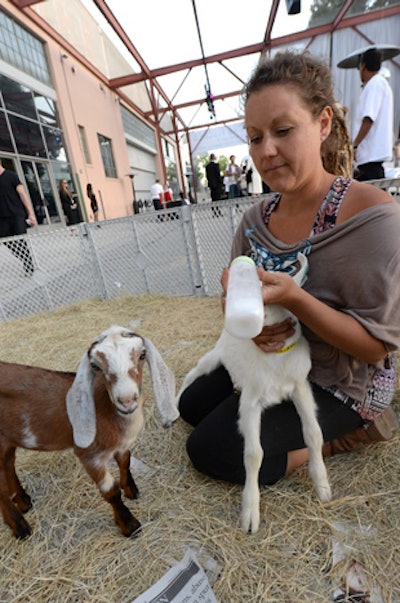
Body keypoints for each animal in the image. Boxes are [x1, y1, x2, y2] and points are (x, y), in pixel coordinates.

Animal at [0, 328, 178, 540]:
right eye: (95, 366)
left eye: (142, 354)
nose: (127, 401)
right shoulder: (89, 455)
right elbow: (111, 492)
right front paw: (129, 525)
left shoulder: (121, 445)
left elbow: (125, 461)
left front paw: (131, 490)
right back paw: (20, 527)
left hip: (8, 440)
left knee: (8, 464)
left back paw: (23, 501)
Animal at [177, 255, 332, 532]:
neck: (276, 360)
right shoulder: (250, 402)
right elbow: (253, 453)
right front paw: (250, 512)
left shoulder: (300, 386)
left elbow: (314, 433)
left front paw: (322, 486)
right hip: (214, 357)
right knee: (193, 374)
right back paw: (172, 407)